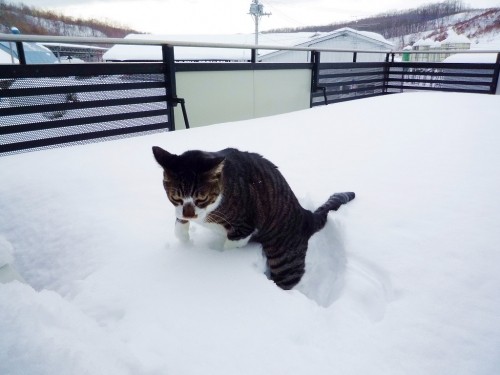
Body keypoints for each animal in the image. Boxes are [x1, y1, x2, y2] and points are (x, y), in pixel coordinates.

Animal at [152, 147, 356, 290]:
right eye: (175, 197)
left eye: (201, 198)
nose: (189, 214)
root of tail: (305, 215)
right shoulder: (180, 210)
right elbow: (178, 226)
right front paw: (185, 241)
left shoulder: (244, 227)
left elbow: (230, 246)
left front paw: (221, 258)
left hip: (285, 261)